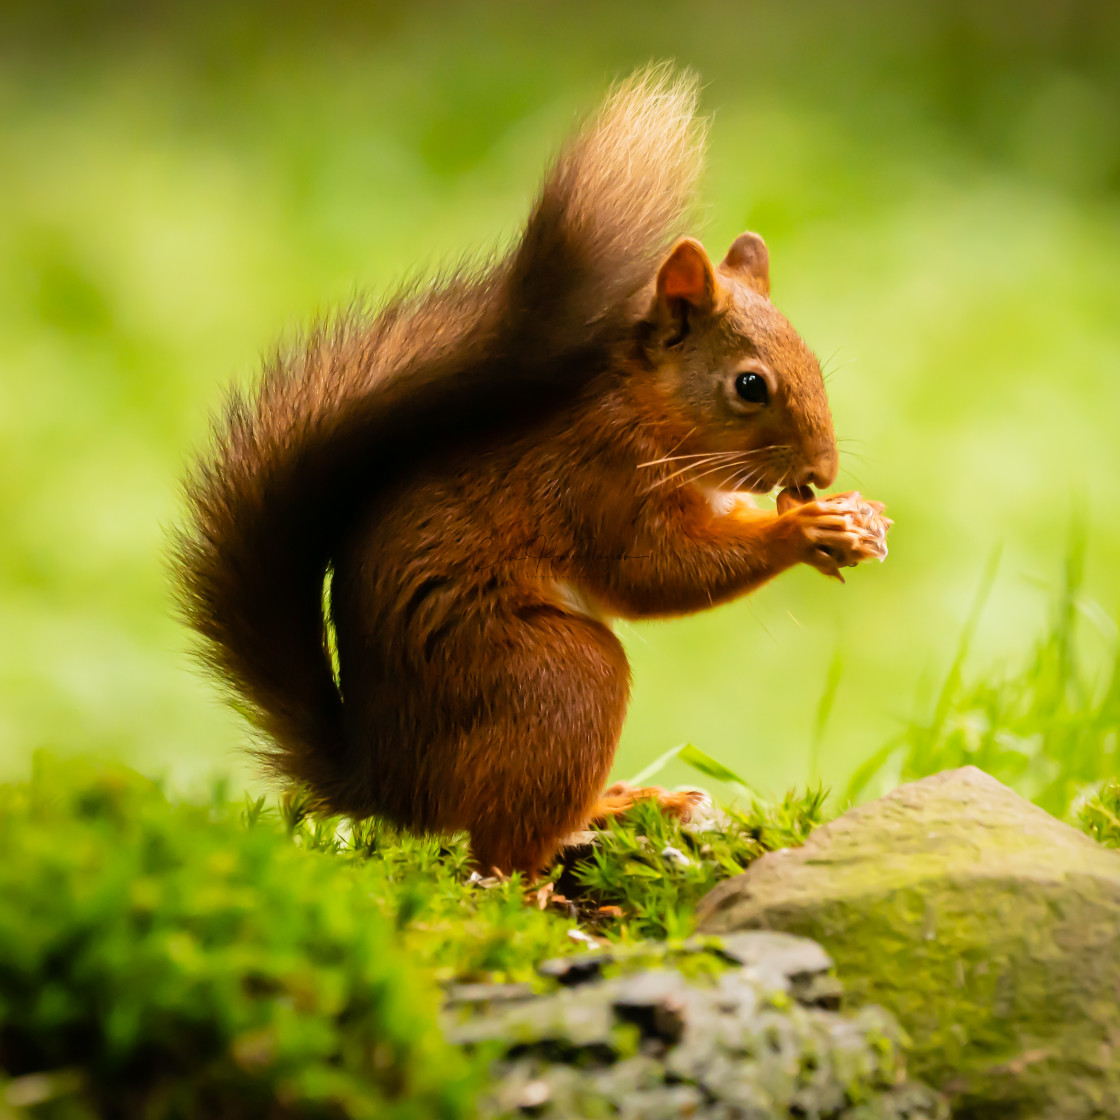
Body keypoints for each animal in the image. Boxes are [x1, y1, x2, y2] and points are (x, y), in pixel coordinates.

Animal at [174, 67, 891, 873]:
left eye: (813, 361)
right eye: (749, 385)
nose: (823, 469)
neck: (645, 405)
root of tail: (390, 786)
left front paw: (845, 520)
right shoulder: (602, 480)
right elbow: (658, 573)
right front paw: (799, 532)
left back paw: (626, 802)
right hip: (556, 676)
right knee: (504, 845)